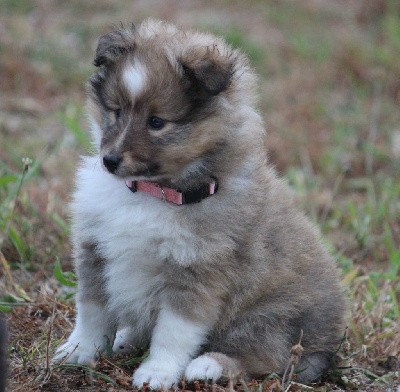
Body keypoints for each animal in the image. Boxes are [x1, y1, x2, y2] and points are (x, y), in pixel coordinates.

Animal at [54, 19, 346, 388]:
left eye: (157, 122)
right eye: (116, 112)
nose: (109, 161)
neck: (151, 193)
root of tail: (328, 344)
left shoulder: (198, 269)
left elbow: (173, 332)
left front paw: (157, 372)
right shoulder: (95, 249)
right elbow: (91, 311)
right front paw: (78, 351)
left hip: (268, 318)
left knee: (268, 358)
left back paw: (208, 366)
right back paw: (127, 338)